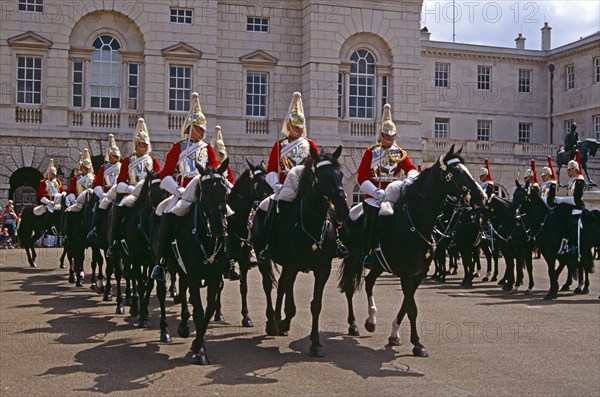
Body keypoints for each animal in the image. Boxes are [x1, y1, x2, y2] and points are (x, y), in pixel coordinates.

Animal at [252, 145, 350, 356]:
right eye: (323, 177)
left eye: (340, 175)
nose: (343, 211)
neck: (310, 223)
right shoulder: (291, 264)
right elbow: (280, 287)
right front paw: (278, 321)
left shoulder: (322, 269)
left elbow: (316, 304)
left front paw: (316, 343)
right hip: (266, 259)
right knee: (269, 285)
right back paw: (273, 321)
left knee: (284, 285)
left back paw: (284, 321)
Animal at [340, 145, 486, 356]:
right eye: (456, 172)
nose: (482, 198)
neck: (417, 222)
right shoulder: (407, 273)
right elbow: (412, 308)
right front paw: (417, 344)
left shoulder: (417, 274)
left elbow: (406, 305)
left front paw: (395, 335)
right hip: (352, 259)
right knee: (350, 288)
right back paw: (353, 325)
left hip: (379, 264)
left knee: (368, 282)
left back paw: (371, 320)